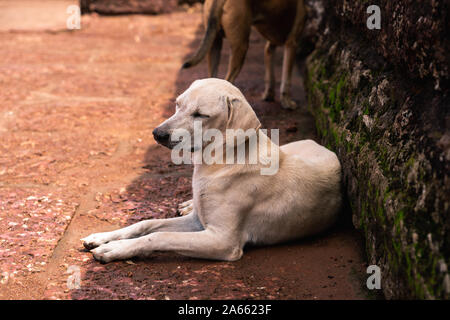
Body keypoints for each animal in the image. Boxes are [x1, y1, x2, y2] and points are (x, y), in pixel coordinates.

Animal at [81, 78, 342, 262]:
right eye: (177, 104)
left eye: (201, 115)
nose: (157, 134)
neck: (219, 163)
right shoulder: (197, 222)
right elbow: (145, 224)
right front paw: (103, 237)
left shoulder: (222, 240)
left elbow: (159, 236)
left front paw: (116, 249)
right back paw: (188, 203)